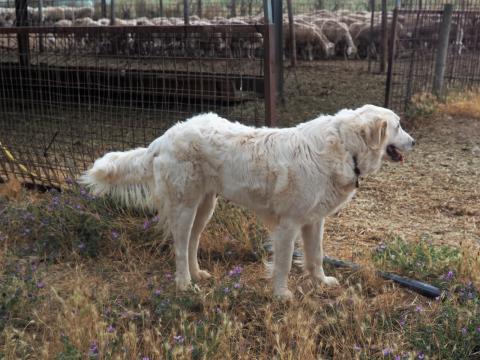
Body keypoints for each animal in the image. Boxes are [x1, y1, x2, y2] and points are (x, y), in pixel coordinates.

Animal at [80, 105, 414, 300]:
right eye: (398, 126)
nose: (414, 142)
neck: (345, 146)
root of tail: (163, 138)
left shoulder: (314, 220)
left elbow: (316, 256)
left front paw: (321, 281)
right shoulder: (288, 224)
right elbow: (283, 264)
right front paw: (281, 295)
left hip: (205, 207)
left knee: (192, 243)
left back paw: (198, 274)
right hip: (185, 206)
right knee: (179, 246)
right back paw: (184, 283)